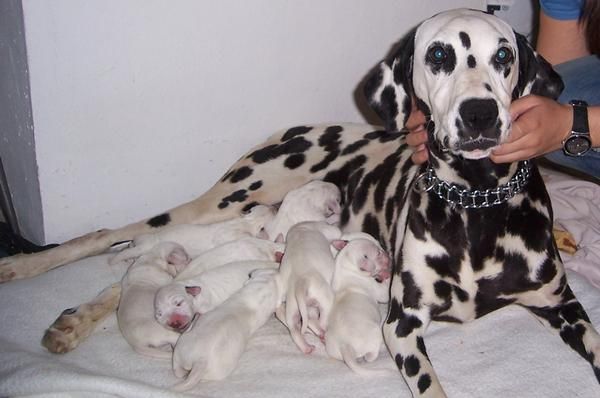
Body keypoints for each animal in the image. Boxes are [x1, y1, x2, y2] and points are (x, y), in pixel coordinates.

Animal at [109, 205, 274, 264]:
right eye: (272, 210)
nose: (274, 207)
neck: (247, 222)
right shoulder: (230, 234)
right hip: (144, 246)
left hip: (139, 244)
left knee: (130, 247)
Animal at [278, 221, 340, 354]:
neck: (301, 228)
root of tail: (301, 283)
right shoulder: (329, 230)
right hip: (325, 299)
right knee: (322, 321)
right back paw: (322, 334)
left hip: (292, 306)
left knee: (294, 330)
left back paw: (307, 348)